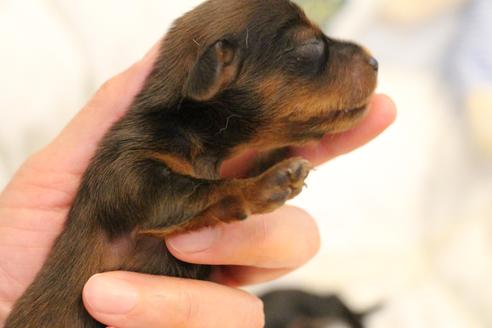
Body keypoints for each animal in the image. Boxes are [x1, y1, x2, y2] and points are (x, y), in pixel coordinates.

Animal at [5, 0, 378, 326]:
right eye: (312, 46)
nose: (374, 60)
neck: (188, 133)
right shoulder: (129, 173)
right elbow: (201, 191)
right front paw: (266, 183)